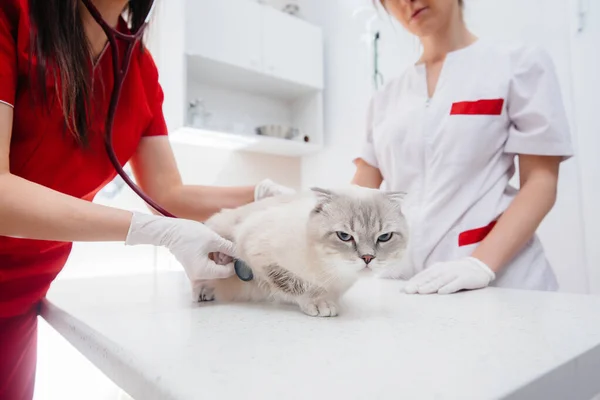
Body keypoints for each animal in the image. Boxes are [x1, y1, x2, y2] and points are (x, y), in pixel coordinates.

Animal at [195, 185, 410, 318]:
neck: (333, 271)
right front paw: (318, 302)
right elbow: (296, 284)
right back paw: (205, 291)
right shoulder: (258, 252)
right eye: (344, 236)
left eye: (384, 237)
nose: (367, 257)